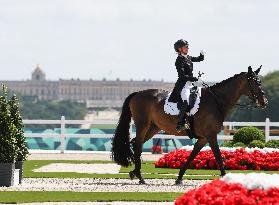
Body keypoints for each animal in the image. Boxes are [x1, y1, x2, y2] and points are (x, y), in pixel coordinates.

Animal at [111, 66, 270, 185]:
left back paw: (135, 173)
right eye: (255, 83)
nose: (264, 102)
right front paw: (225, 177)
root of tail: (137, 93)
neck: (216, 101)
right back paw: (140, 177)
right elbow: (218, 156)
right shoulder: (211, 135)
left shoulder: (204, 138)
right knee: (137, 144)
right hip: (143, 125)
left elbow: (192, 155)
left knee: (136, 143)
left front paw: (179, 177)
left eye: (260, 82)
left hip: (153, 127)